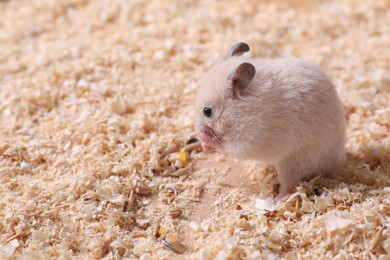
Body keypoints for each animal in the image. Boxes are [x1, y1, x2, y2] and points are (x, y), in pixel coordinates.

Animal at [197, 42, 346, 201]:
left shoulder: (249, 140)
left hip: (291, 164)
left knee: (288, 186)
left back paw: (273, 201)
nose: (198, 133)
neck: (239, 111)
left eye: (207, 111)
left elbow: (227, 145)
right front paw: (205, 145)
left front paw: (207, 140)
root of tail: (337, 161)